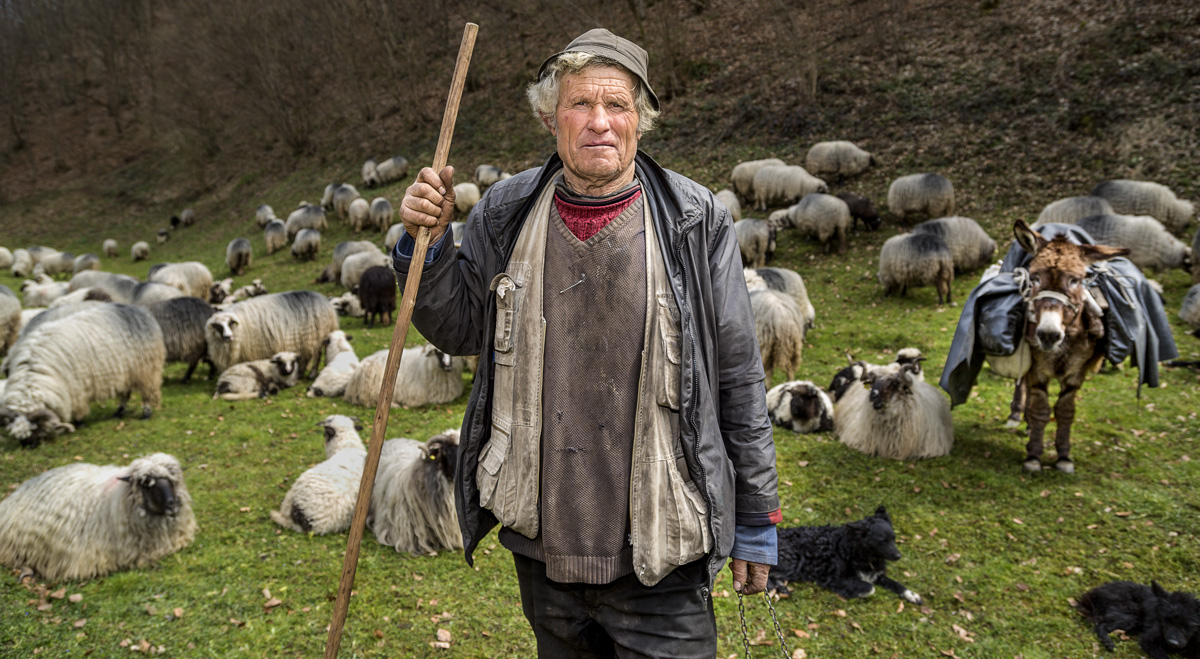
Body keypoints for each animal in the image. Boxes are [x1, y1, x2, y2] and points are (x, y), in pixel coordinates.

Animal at [0, 300, 164, 444]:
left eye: (36, 428)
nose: (26, 445)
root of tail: (138, 310)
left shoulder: (76, 388)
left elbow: (78, 407)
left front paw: (79, 423)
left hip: (146, 369)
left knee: (147, 391)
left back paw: (146, 413)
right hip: (126, 371)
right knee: (125, 393)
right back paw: (118, 413)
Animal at [205, 289, 338, 376]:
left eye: (229, 323)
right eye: (218, 326)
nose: (228, 337)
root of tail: (324, 300)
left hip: (316, 335)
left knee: (317, 354)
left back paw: (312, 373)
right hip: (306, 338)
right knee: (307, 354)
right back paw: (301, 371)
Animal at [763, 506, 921, 604]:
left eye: (893, 538)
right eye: (882, 541)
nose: (898, 556)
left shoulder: (875, 574)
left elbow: (895, 584)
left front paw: (912, 595)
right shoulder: (836, 578)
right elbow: (871, 588)